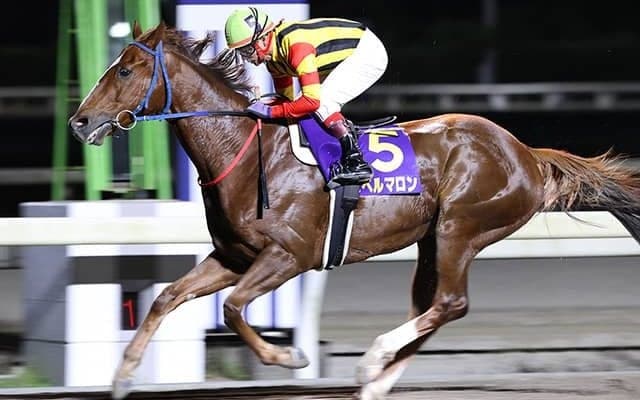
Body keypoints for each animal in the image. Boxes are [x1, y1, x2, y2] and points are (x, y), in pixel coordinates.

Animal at [68, 21, 640, 400]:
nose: (79, 121)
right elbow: (167, 298)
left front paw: (289, 356)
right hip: (432, 238)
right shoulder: (233, 256)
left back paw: (372, 361)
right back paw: (376, 381)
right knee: (431, 307)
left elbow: (232, 308)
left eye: (126, 69)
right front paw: (122, 375)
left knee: (450, 303)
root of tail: (525, 153)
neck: (246, 152)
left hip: (461, 226)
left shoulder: (288, 256)